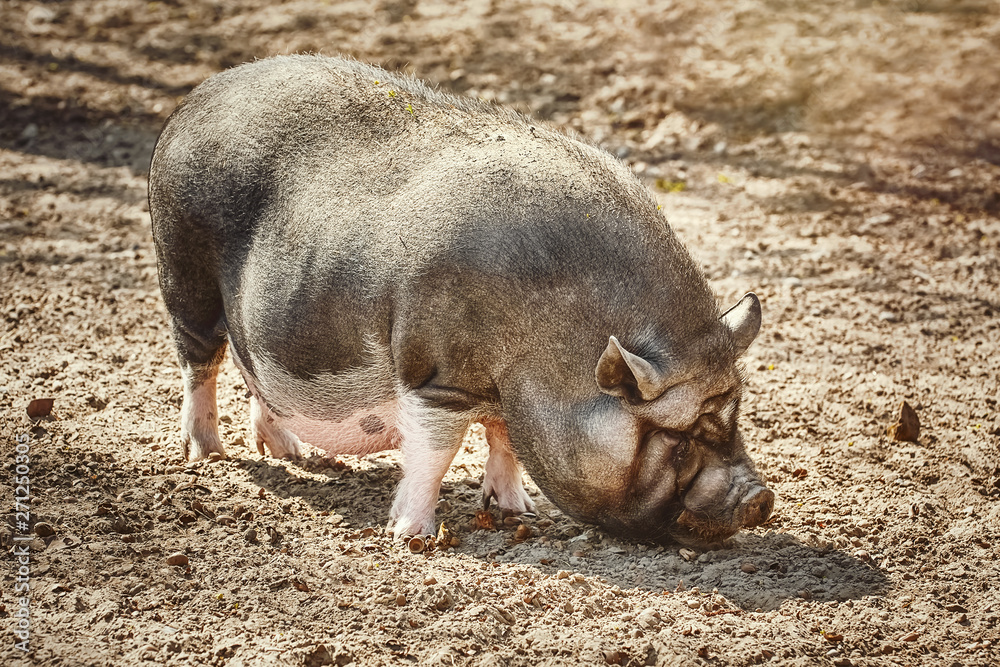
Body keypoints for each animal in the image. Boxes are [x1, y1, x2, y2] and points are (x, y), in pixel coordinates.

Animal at [148, 54, 772, 548]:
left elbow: (503, 441)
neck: (546, 357)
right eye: (680, 439)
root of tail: (195, 100)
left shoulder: (501, 392)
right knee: (199, 361)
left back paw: (289, 453)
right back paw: (207, 456)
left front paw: (517, 510)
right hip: (181, 271)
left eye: (735, 415)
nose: (760, 499)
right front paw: (412, 536)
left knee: (252, 370)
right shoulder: (437, 375)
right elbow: (436, 452)